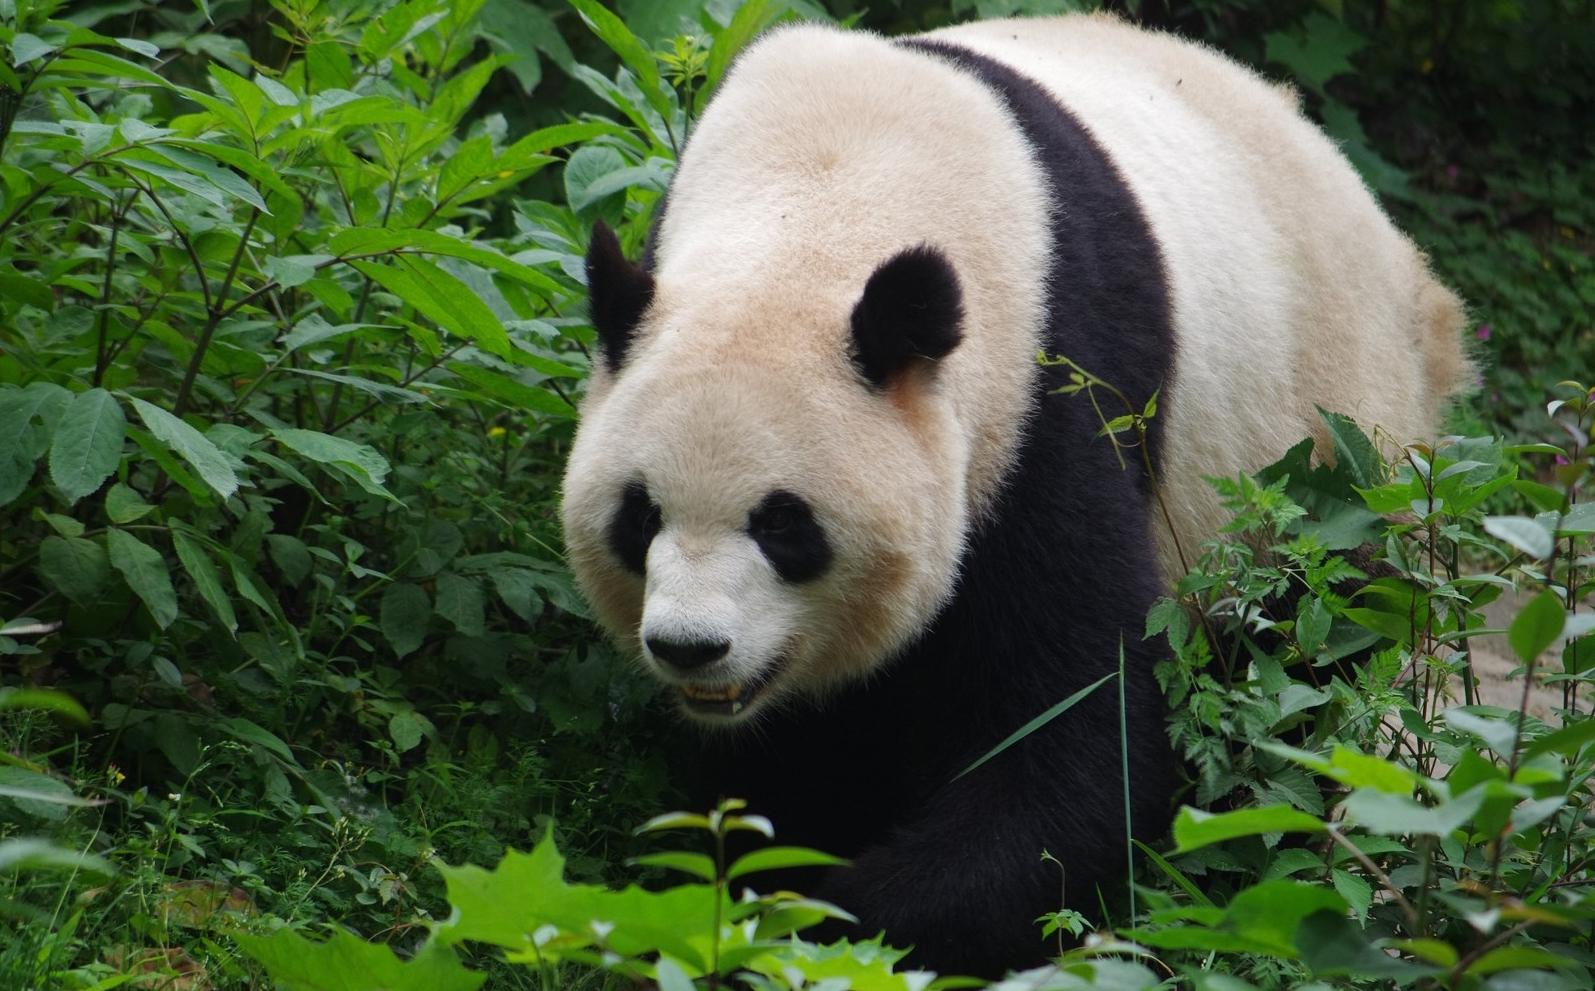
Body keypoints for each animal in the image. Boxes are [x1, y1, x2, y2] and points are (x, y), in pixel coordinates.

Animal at [561, 11, 1467, 976]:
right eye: (639, 516)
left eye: (783, 525)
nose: (689, 647)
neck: (817, 205)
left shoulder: (1052, 392)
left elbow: (1083, 736)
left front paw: (829, 919)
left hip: (1326, 463)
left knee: (1322, 670)